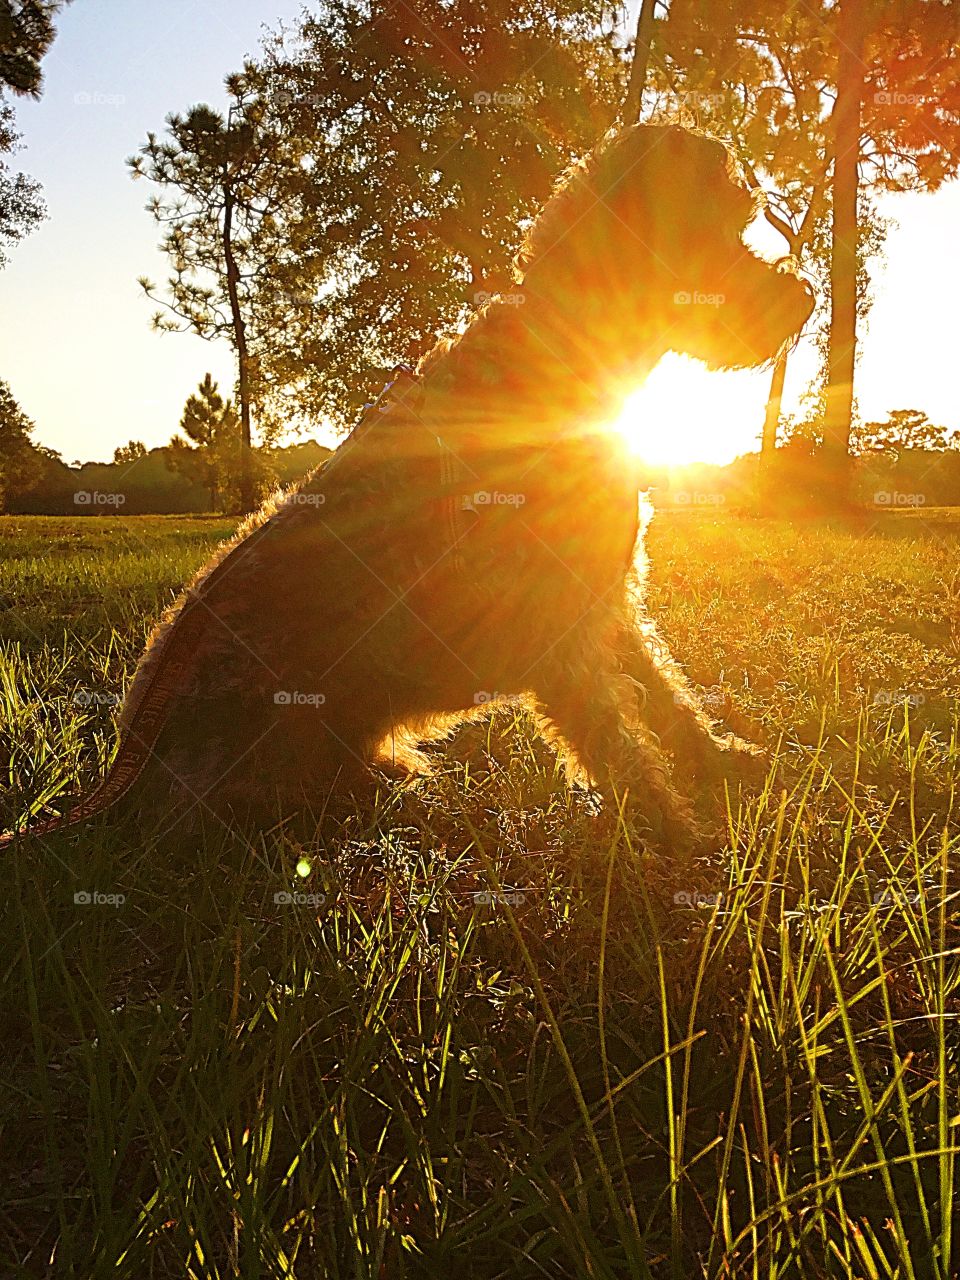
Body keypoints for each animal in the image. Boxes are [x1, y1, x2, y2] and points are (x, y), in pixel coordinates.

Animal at [0, 124, 814, 855]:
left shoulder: (606, 601)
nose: (804, 300)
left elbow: (670, 697)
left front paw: (721, 764)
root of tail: (138, 765)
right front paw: (677, 841)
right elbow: (618, 741)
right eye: (717, 230)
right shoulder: (557, 626)